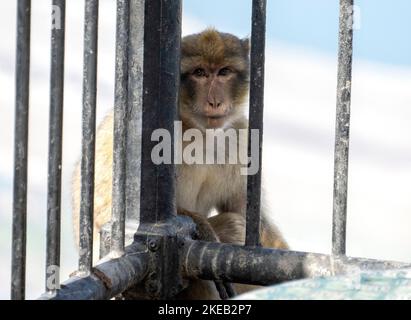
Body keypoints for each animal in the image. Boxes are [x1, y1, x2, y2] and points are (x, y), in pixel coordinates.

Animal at [72, 28, 288, 300]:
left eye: (224, 72)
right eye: (200, 73)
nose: (215, 102)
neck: (200, 131)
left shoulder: (241, 136)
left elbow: (248, 217)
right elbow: (108, 212)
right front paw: (204, 231)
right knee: (232, 226)